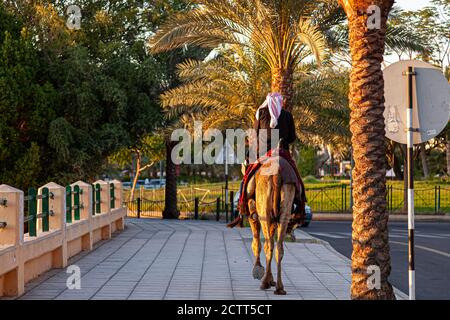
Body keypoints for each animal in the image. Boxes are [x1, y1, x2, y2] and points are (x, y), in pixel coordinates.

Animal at [243, 154, 298, 294]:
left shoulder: (253, 212)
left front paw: (258, 270)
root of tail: (277, 174)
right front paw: (270, 279)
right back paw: (279, 287)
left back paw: (264, 283)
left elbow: (256, 243)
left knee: (268, 245)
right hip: (286, 201)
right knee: (278, 246)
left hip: (264, 209)